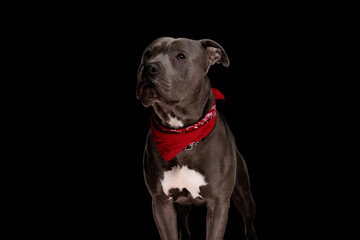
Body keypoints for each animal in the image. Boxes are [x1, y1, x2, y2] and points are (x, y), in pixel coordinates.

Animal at [136, 36, 258, 239]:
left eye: (181, 56)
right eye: (148, 54)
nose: (149, 67)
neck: (183, 136)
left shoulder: (218, 203)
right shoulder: (161, 203)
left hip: (243, 195)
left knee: (249, 221)